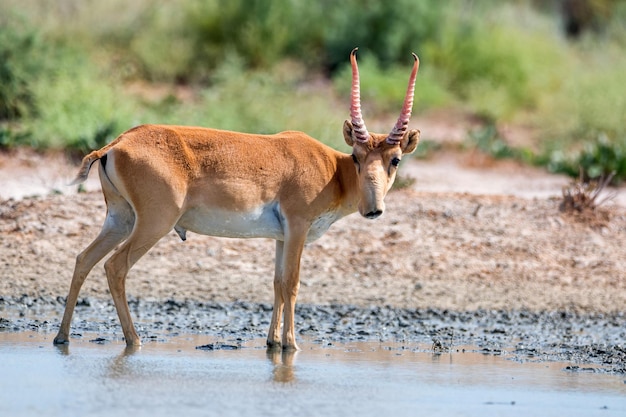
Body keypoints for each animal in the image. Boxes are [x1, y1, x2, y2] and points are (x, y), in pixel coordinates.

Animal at [54, 47, 420, 350]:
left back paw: (62, 336)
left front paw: (273, 342)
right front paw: (291, 344)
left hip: (120, 219)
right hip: (153, 224)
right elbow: (292, 283)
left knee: (84, 259)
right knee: (115, 266)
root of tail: (115, 144)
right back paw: (134, 340)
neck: (331, 168)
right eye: (357, 156)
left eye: (395, 159)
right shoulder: (298, 228)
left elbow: (276, 282)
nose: (373, 210)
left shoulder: (281, 237)